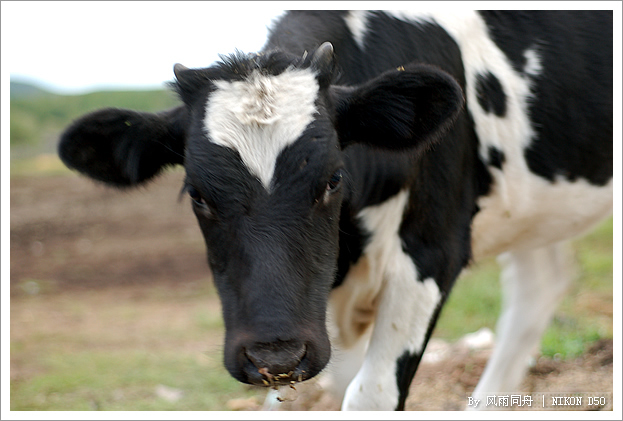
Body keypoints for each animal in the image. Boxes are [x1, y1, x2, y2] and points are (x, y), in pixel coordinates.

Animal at [58, 9, 616, 410]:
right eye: (196, 193)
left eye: (333, 178)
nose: (276, 354)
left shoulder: (432, 251)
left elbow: (369, 395)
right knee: (540, 284)